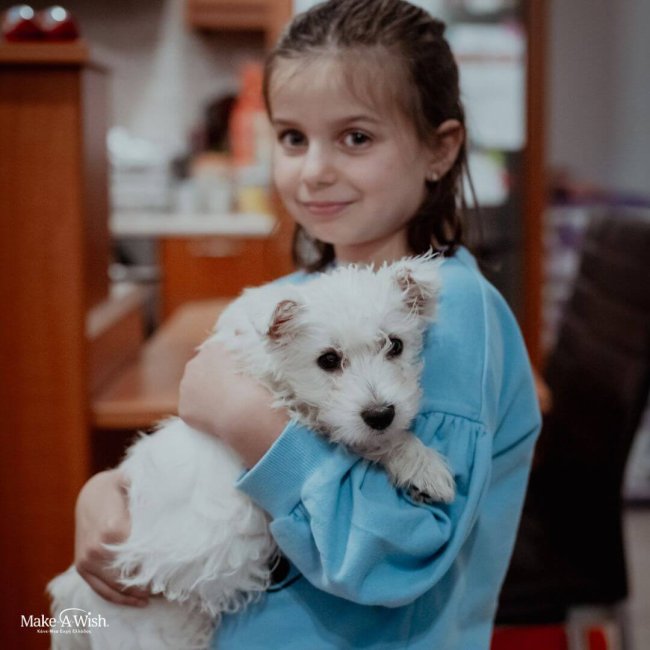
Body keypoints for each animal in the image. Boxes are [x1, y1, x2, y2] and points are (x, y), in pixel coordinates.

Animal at [48, 253, 455, 649]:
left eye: (395, 345)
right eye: (328, 360)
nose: (381, 414)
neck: (276, 376)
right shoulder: (305, 414)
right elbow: (367, 440)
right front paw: (424, 467)